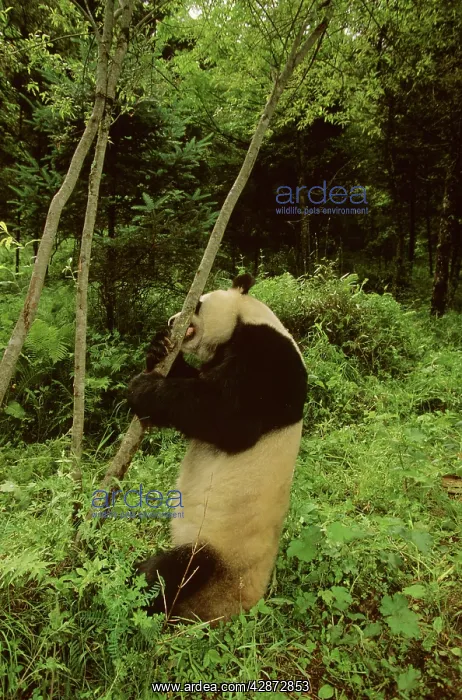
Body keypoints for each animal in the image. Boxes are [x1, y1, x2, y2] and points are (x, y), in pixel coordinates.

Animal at [127, 274, 307, 623]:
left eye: (198, 304)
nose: (172, 321)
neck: (248, 318)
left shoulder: (270, 364)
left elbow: (226, 417)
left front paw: (143, 389)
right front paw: (159, 349)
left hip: (218, 551)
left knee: (174, 570)